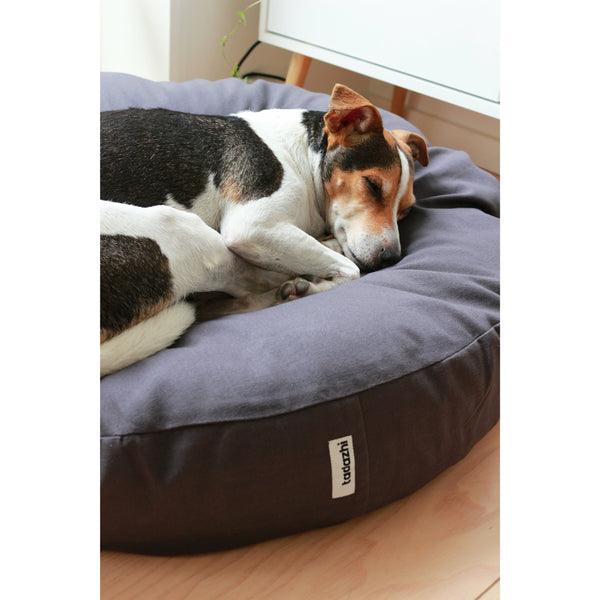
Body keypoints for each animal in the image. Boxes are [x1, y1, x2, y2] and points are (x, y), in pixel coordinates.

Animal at [99, 84, 426, 376]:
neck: (301, 155)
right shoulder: (252, 228)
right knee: (246, 285)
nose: (391, 258)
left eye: (406, 210)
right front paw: (315, 285)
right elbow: (351, 271)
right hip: (182, 231)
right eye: (372, 185)